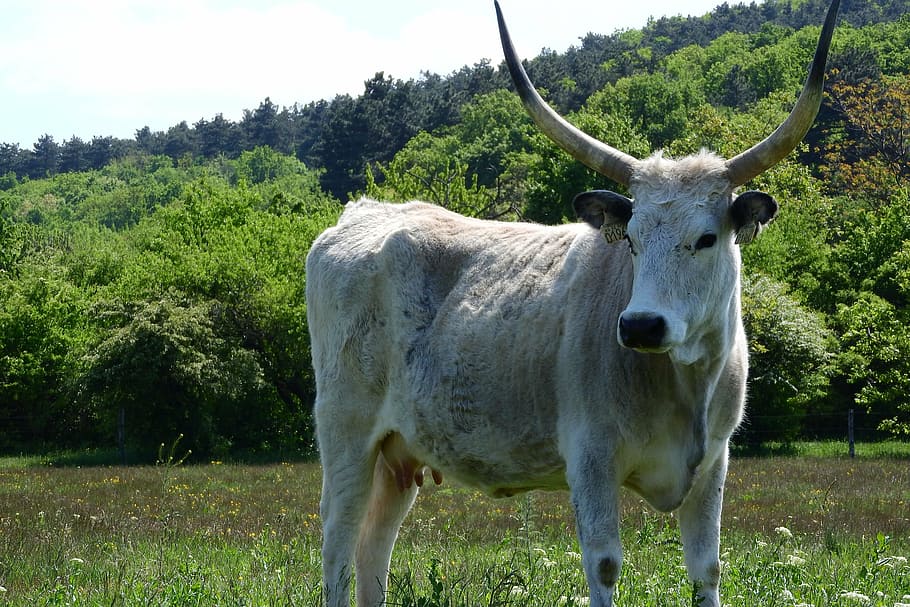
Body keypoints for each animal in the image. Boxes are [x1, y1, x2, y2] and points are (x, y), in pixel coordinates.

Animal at [305, 0, 839, 605]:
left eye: (707, 238)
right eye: (631, 238)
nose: (641, 325)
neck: (684, 384)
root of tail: (365, 212)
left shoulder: (713, 464)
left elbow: (707, 567)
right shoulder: (591, 458)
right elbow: (604, 565)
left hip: (399, 454)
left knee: (374, 545)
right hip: (346, 432)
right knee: (339, 539)